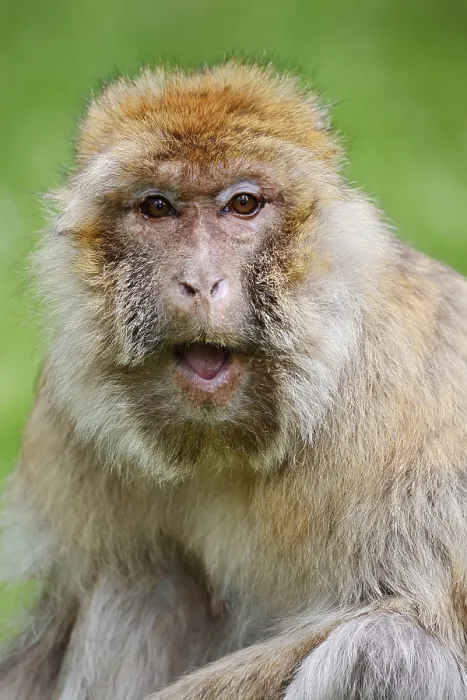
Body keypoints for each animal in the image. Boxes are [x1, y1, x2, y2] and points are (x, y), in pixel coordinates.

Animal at [1, 59, 467, 700]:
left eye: (242, 204)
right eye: (157, 208)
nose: (201, 282)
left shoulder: (406, 429)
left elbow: (410, 618)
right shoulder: (67, 429)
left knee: (384, 650)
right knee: (143, 581)